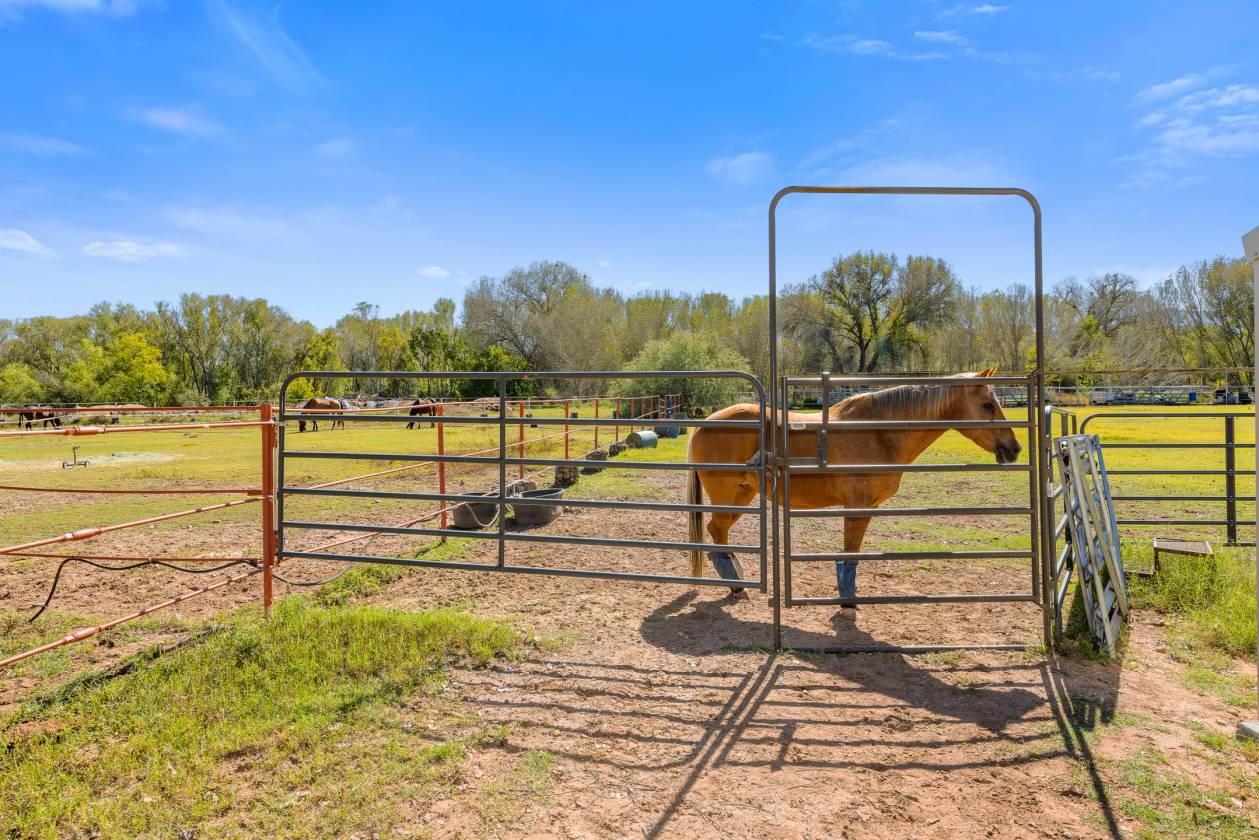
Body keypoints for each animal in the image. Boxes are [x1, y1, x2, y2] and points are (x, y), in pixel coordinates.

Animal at [685, 368, 1021, 619]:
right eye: (988, 405)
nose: (1015, 448)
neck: (878, 432)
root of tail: (703, 424)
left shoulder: (866, 507)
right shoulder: (856, 506)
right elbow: (850, 552)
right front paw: (847, 605)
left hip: (742, 497)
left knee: (717, 531)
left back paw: (737, 579)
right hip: (728, 496)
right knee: (717, 530)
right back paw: (736, 584)